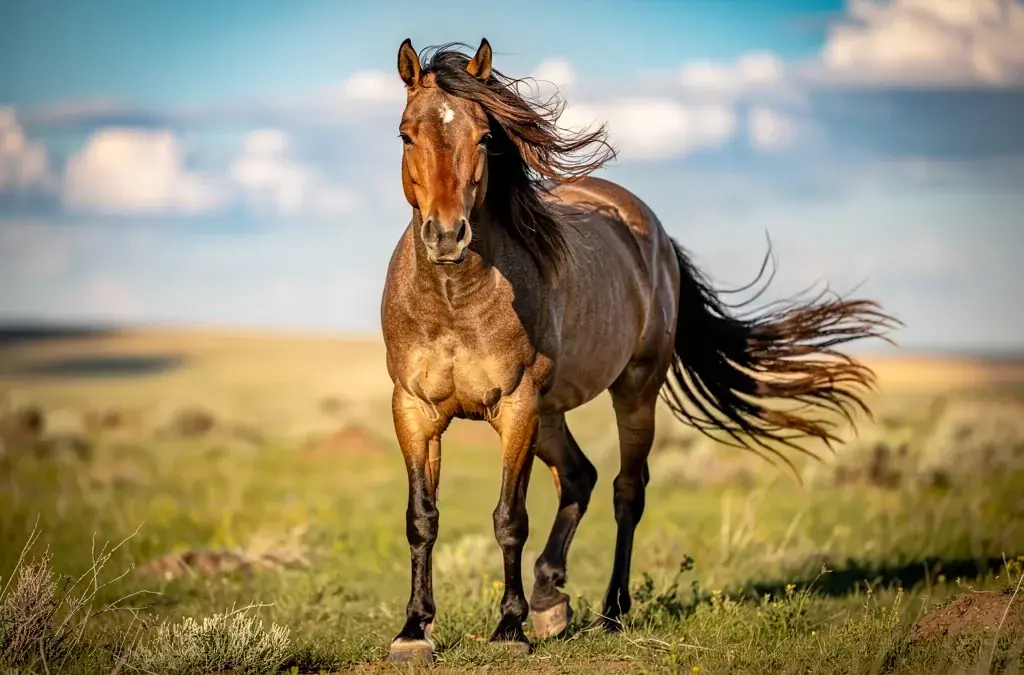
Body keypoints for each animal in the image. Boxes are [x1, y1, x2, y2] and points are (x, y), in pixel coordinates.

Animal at [379, 37, 898, 663]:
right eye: (406, 135)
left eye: (484, 137)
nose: (447, 235)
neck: (456, 299)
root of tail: (651, 228)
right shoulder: (414, 410)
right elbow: (421, 518)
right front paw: (414, 630)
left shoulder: (516, 407)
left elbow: (509, 517)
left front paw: (509, 629)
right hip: (551, 412)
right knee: (579, 477)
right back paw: (552, 599)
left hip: (631, 392)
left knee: (627, 491)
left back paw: (611, 612)